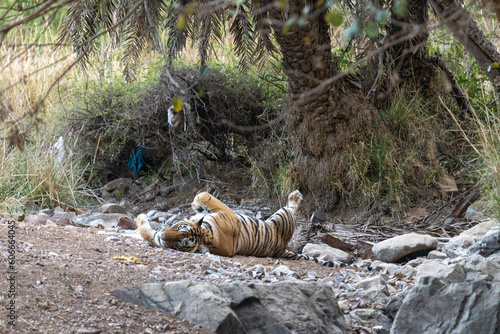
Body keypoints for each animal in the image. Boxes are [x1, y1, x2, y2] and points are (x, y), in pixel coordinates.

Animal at [137, 189, 348, 268]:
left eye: (182, 240)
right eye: (178, 231)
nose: (163, 237)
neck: (204, 234)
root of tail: (282, 249)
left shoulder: (225, 211)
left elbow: (204, 195)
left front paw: (196, 205)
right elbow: (148, 233)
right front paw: (141, 219)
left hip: (280, 217)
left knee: (291, 208)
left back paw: (295, 196)